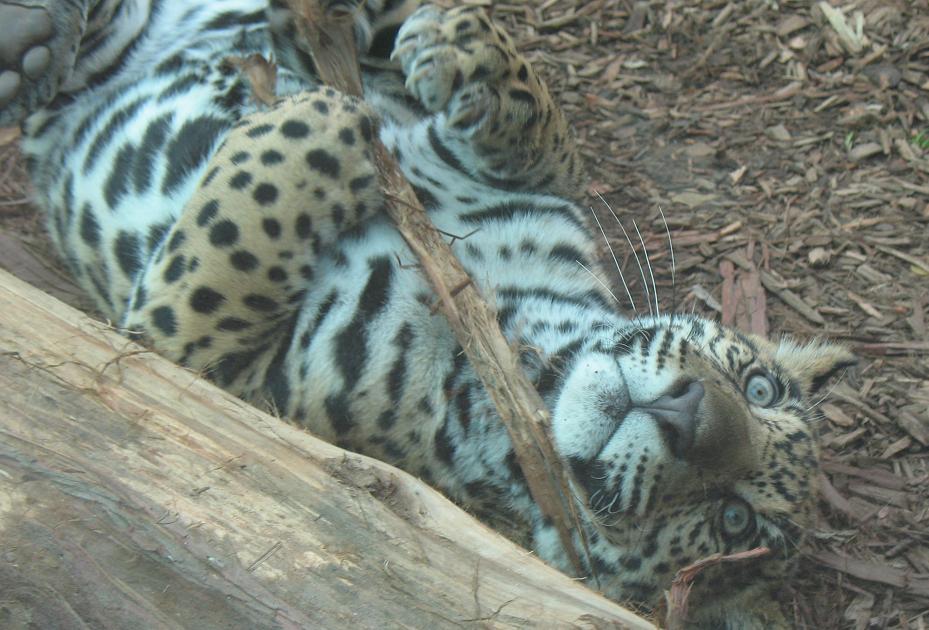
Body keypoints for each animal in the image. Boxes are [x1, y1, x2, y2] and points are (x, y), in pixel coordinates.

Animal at [5, 0, 855, 626]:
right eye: (759, 389)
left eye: (734, 524)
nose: (690, 416)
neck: (517, 347)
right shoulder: (522, 190)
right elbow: (553, 140)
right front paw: (457, 51)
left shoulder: (200, 360)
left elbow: (233, 241)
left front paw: (318, 122)